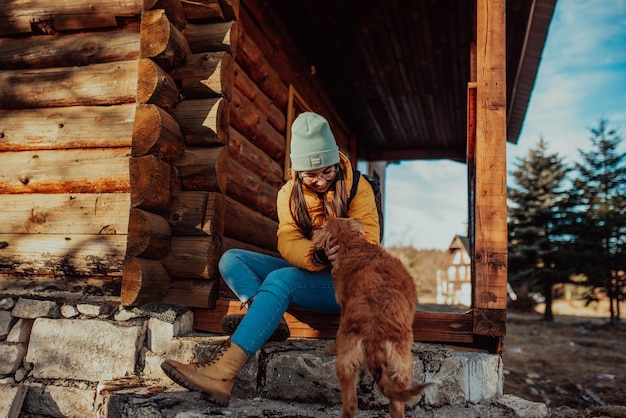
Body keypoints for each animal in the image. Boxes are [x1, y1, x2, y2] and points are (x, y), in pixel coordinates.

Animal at [312, 217, 428, 416]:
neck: (352, 245)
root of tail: (376, 332)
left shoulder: (343, 306)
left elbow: (337, 332)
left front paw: (331, 348)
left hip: (347, 361)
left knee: (351, 404)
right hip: (402, 363)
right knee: (396, 404)